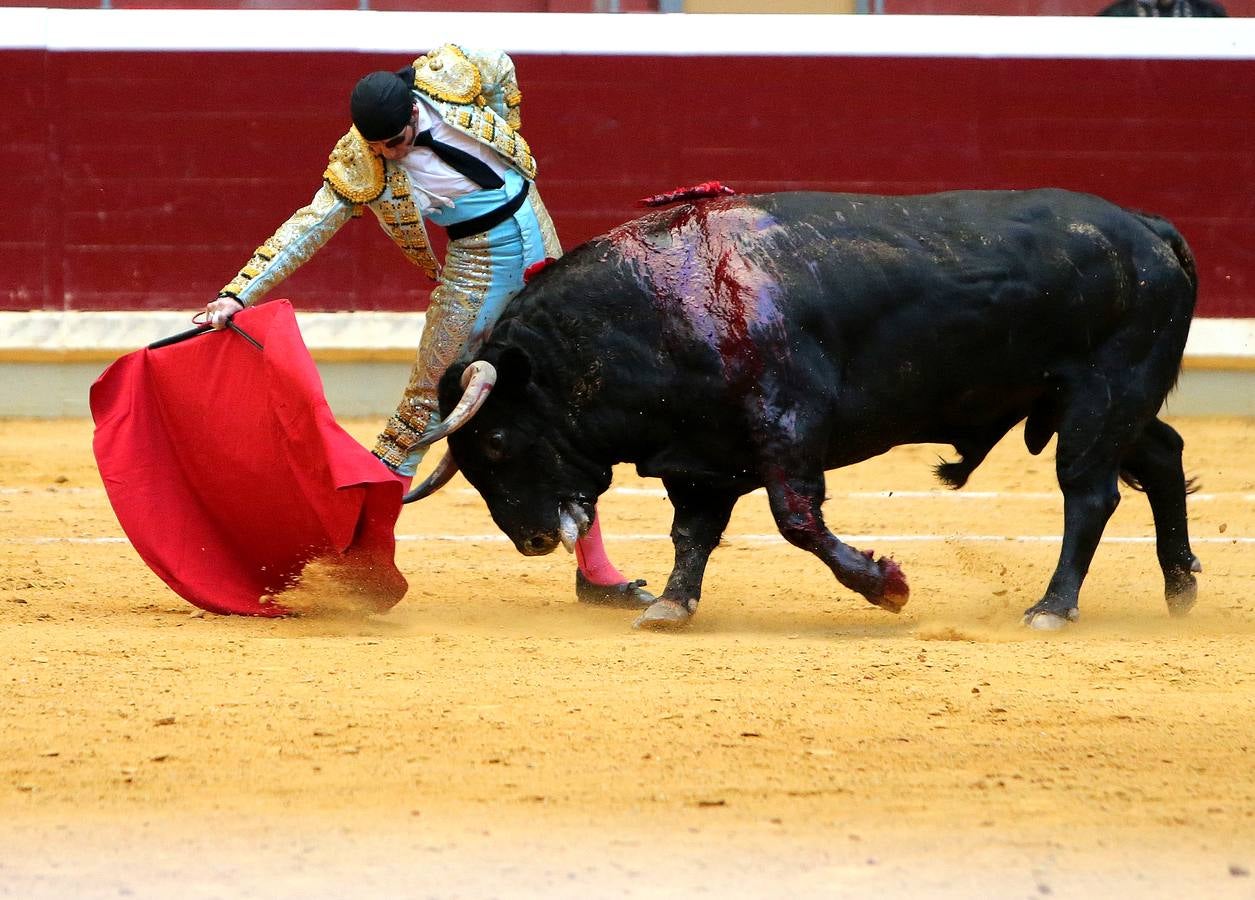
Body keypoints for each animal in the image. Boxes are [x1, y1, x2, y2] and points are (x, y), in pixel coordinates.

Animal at [436, 187, 1199, 627]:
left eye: (497, 443)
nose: (531, 540)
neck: (658, 304)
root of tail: (1148, 228)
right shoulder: (702, 456)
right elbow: (692, 533)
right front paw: (671, 606)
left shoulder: (787, 424)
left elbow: (795, 519)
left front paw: (886, 586)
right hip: (1101, 404)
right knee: (1162, 456)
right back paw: (1179, 590)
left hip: (1103, 396)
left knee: (1089, 495)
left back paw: (1052, 607)